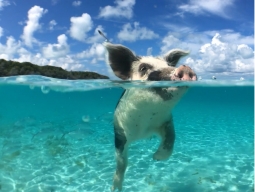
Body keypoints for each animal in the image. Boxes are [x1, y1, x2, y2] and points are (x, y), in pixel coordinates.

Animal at [103, 41, 197, 190]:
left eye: (169, 65)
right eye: (143, 68)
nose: (186, 68)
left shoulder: (166, 120)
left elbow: (171, 138)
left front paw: (156, 158)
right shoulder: (119, 131)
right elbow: (122, 161)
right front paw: (115, 188)